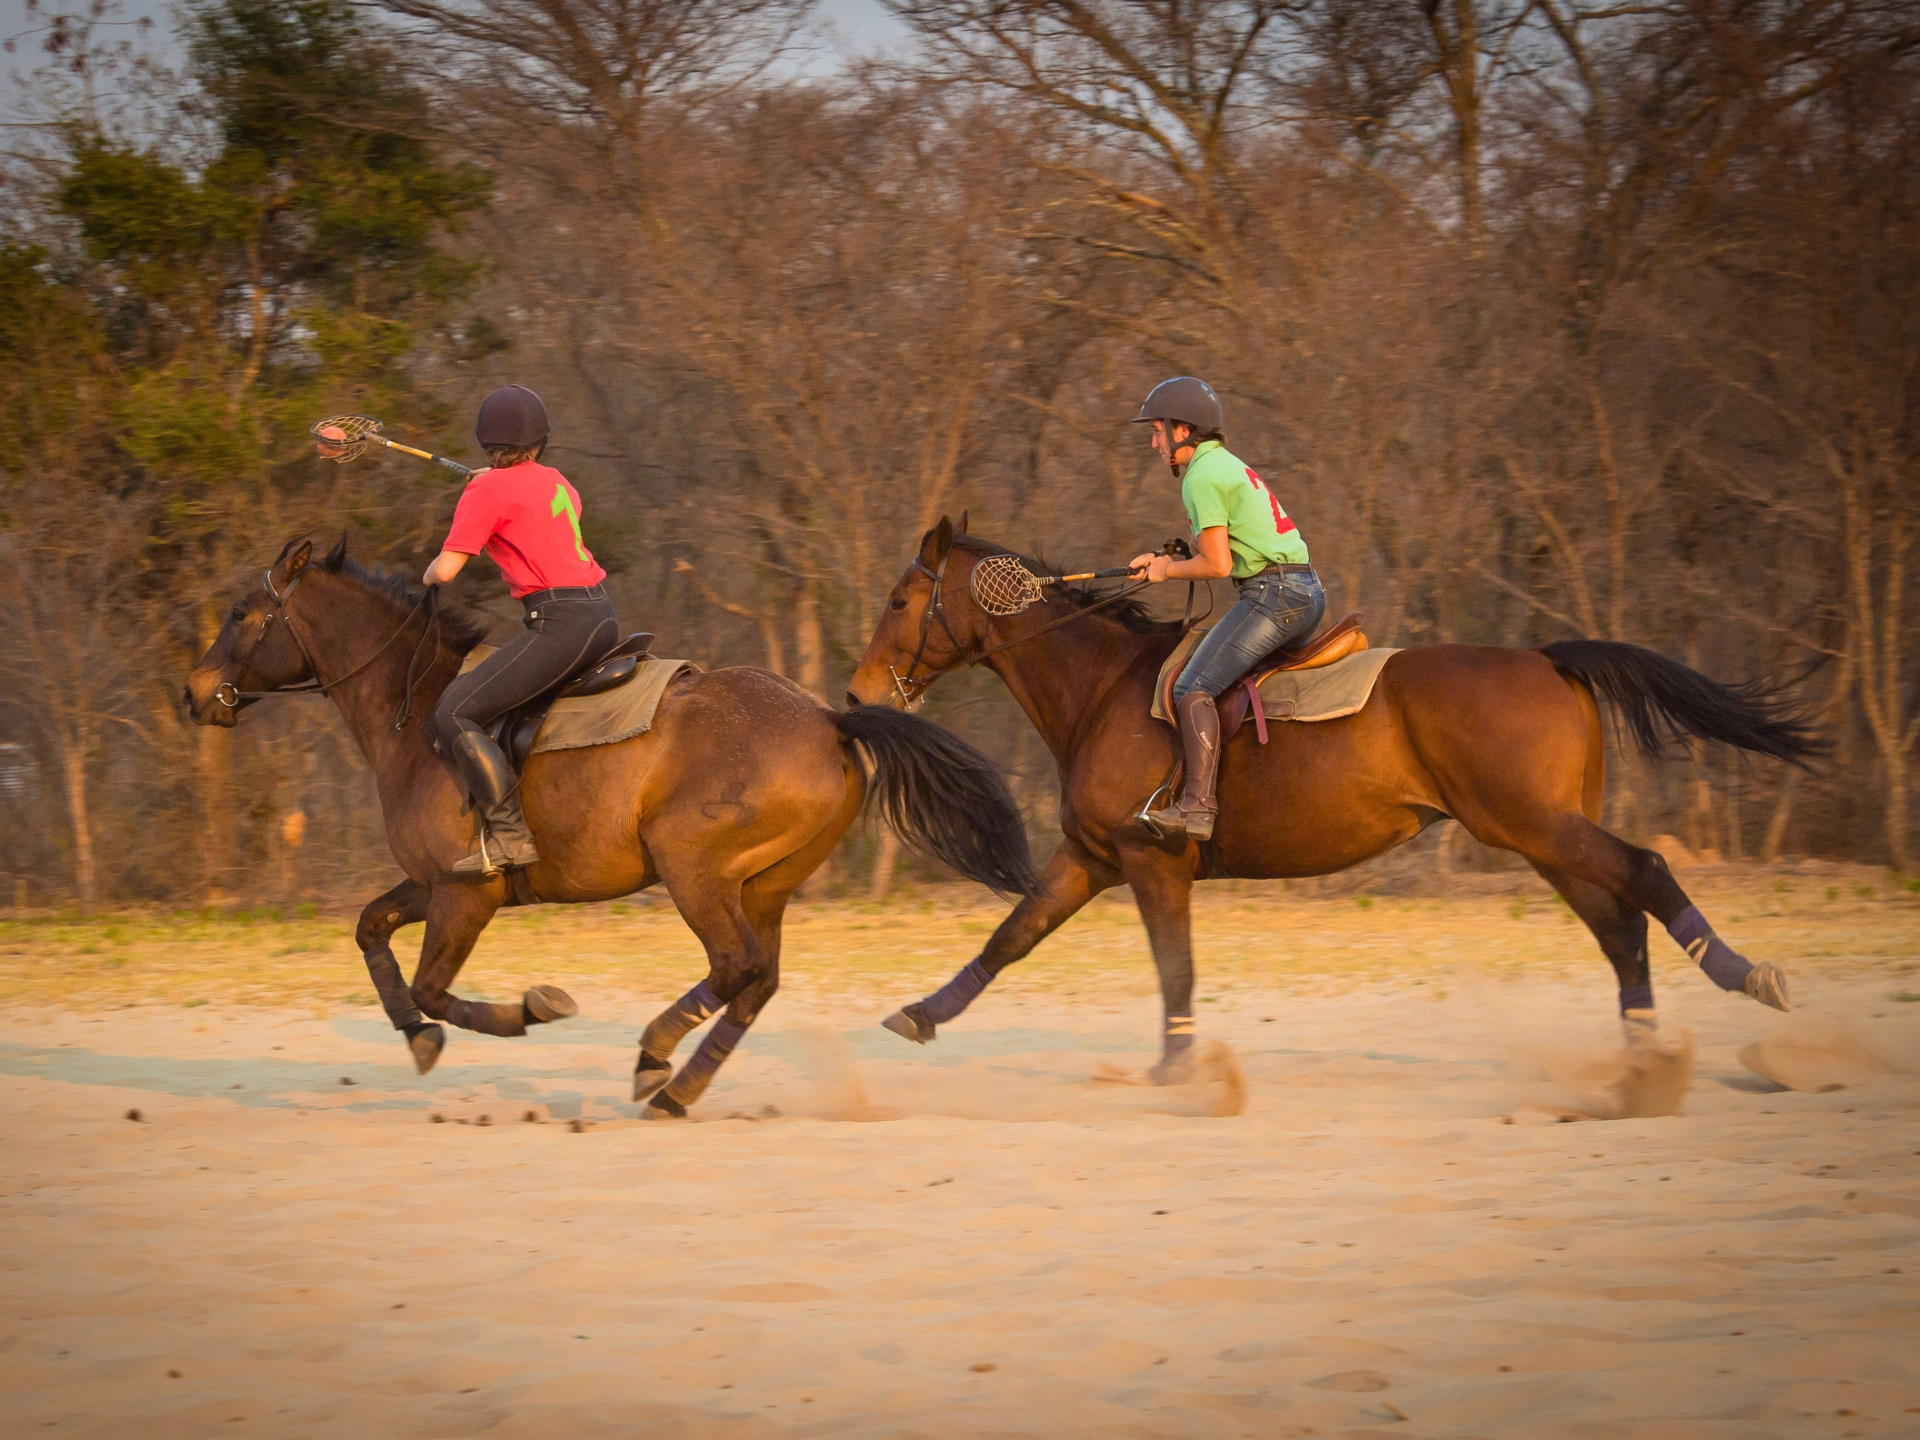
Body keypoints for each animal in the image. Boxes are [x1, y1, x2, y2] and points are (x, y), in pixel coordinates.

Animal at [185, 535, 1036, 1117]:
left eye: (242, 614)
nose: (193, 692)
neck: (413, 708)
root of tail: (831, 720)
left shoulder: (467, 895)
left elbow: (433, 986)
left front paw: (529, 1009)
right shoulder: (433, 884)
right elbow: (370, 932)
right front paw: (418, 1039)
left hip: (692, 867)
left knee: (735, 966)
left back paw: (655, 1058)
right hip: (764, 886)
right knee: (757, 980)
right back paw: (676, 1088)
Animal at [847, 516, 1822, 1080]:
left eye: (898, 599)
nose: (856, 692)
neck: (1102, 688)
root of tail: (1548, 659)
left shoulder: (1154, 865)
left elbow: (1174, 969)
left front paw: (1178, 1074)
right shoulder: (1090, 860)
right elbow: (1011, 938)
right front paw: (919, 1015)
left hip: (1538, 825)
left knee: (1647, 872)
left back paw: (1748, 978)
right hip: (1543, 834)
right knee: (1617, 924)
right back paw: (1644, 1057)